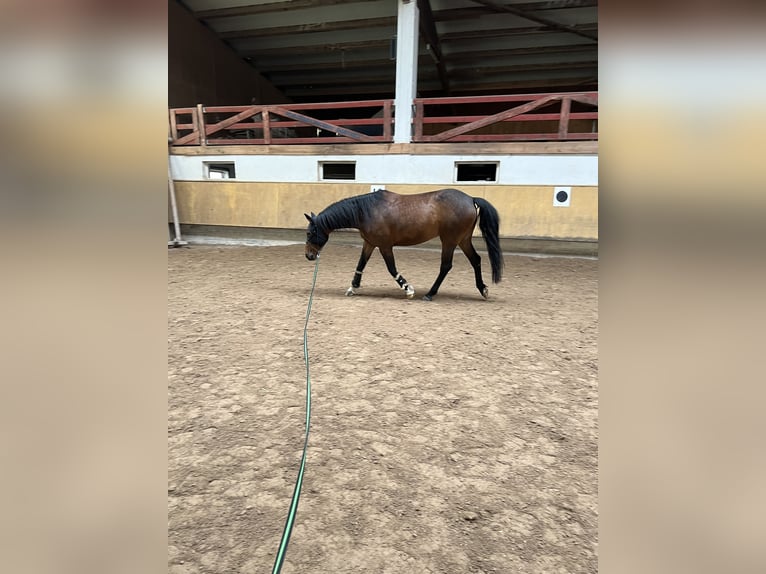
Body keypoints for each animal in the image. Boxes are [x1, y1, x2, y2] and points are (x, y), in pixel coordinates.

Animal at [304, 191, 508, 304]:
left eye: (309, 233)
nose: (309, 255)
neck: (367, 211)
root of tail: (470, 199)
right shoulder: (369, 243)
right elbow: (361, 264)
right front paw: (352, 288)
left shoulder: (385, 246)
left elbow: (391, 268)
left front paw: (408, 289)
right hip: (463, 240)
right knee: (476, 260)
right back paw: (482, 289)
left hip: (449, 241)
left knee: (446, 266)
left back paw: (430, 294)